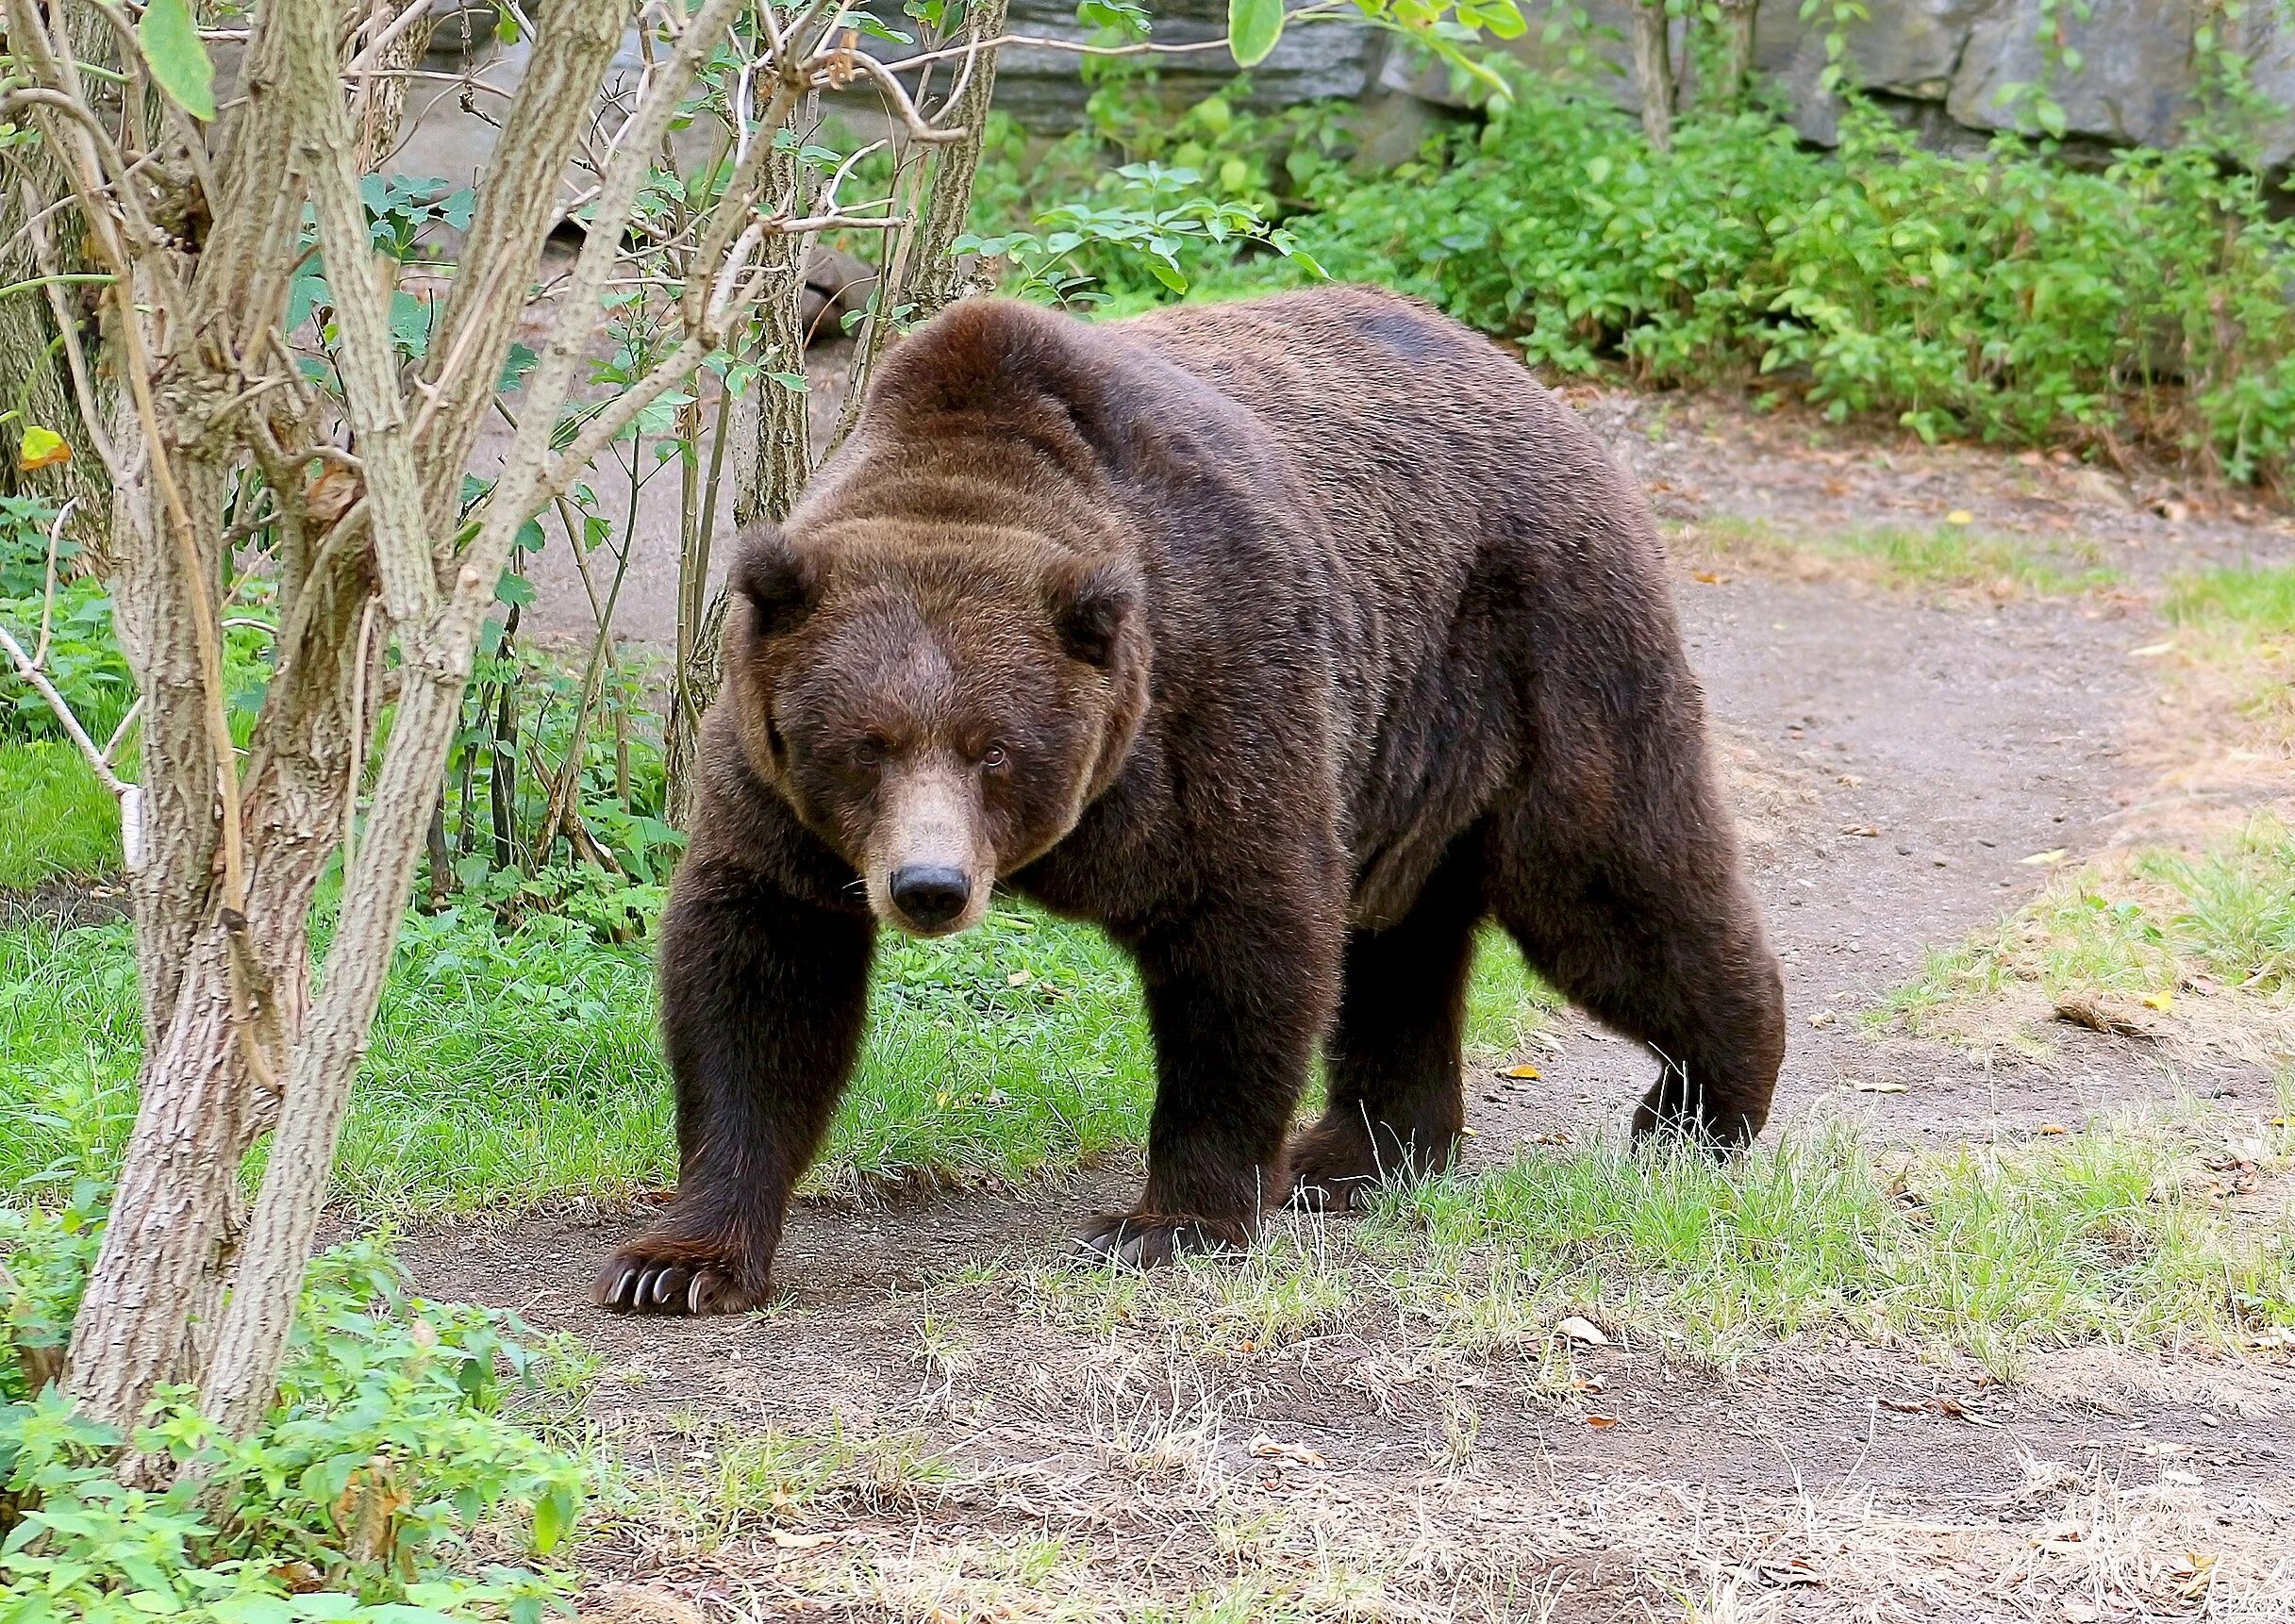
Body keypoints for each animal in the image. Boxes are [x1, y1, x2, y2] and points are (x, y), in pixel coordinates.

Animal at [596, 285, 1789, 1312]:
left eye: (994, 750)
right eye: (864, 747)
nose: (929, 886)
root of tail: (1534, 388)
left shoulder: (1212, 697)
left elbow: (1245, 942)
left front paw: (1166, 1222)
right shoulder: (777, 796)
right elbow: (759, 974)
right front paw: (678, 1262)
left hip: (1537, 646)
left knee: (1614, 881)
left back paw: (1697, 1109)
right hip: (1406, 746)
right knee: (1401, 941)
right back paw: (1359, 1154)